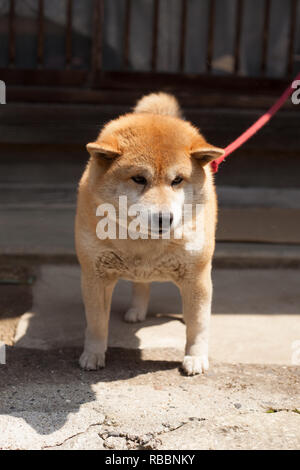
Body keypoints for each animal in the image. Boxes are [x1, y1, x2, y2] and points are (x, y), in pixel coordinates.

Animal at [76, 93, 224, 376]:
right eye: (139, 179)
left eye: (177, 180)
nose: (164, 218)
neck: (143, 243)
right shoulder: (94, 275)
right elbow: (97, 324)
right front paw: (93, 354)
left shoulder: (197, 274)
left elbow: (198, 326)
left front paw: (195, 357)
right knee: (141, 283)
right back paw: (137, 309)